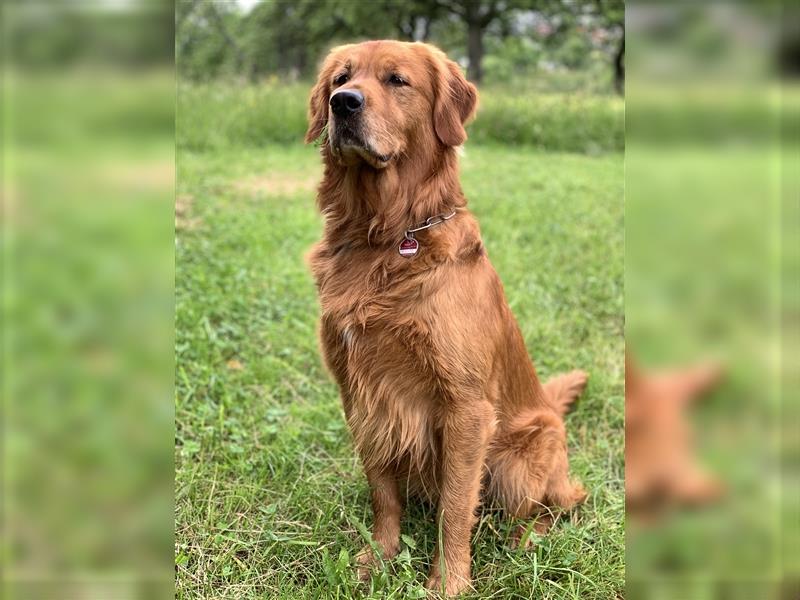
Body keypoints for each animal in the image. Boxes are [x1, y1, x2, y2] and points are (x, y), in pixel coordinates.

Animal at [306, 41, 588, 596]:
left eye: (397, 80)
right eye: (340, 79)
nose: (342, 104)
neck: (387, 235)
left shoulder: (465, 407)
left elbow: (456, 507)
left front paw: (449, 581)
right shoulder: (362, 394)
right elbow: (382, 492)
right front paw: (380, 556)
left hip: (523, 457)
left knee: (559, 503)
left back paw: (528, 539)